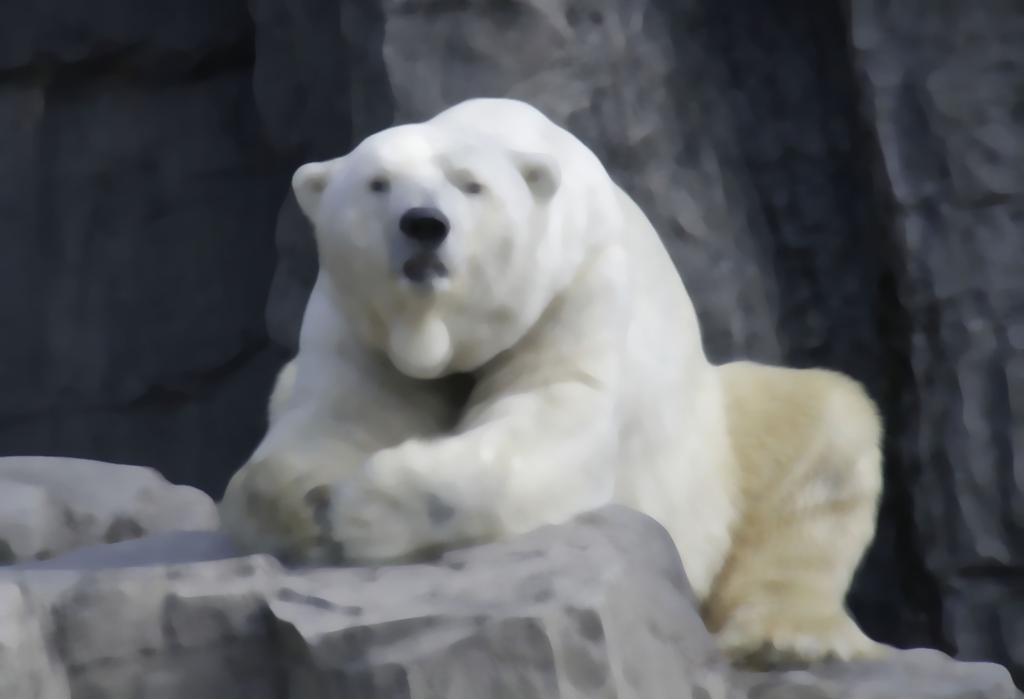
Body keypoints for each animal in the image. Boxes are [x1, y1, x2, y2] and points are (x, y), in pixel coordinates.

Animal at [219, 97, 886, 668]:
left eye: (471, 185)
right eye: (377, 183)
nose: (424, 224)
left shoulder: (579, 285)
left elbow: (552, 419)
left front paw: (361, 507)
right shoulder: (354, 320)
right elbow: (340, 417)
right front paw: (305, 507)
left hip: (718, 438)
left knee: (823, 430)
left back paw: (781, 640)